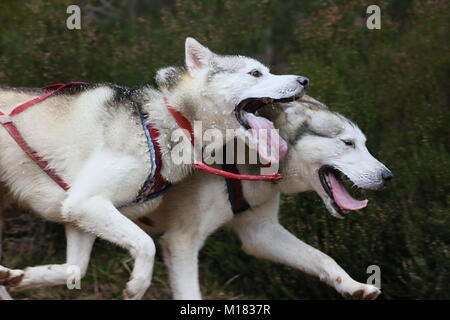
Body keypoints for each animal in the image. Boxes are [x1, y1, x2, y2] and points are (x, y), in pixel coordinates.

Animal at [0, 38, 308, 300]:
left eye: (268, 71)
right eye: (255, 73)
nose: (304, 80)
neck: (166, 122)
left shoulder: (78, 213)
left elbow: (74, 270)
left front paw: (20, 278)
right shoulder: (86, 203)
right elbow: (146, 244)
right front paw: (138, 285)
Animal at [0, 97, 390, 300]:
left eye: (364, 143)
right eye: (347, 143)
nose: (388, 177)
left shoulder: (259, 234)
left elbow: (323, 258)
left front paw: (353, 285)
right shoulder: (181, 242)